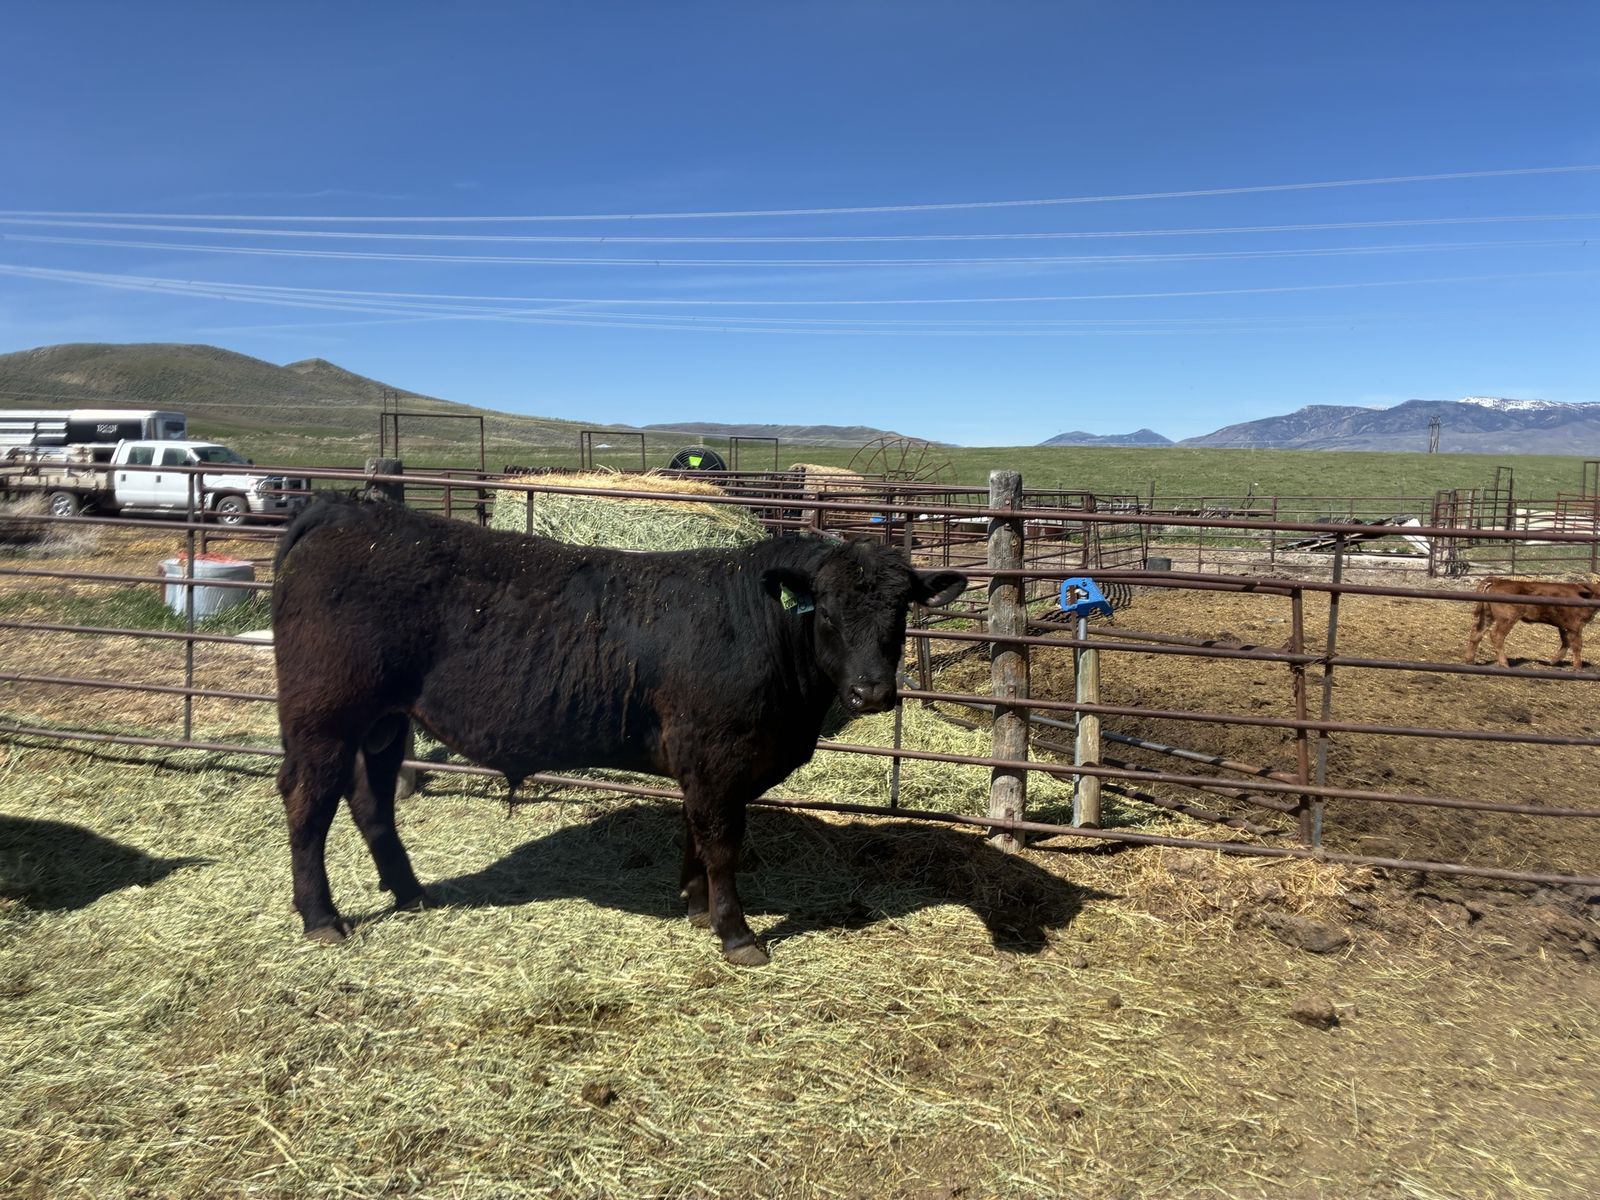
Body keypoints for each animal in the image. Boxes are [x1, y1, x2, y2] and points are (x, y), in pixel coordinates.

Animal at [270, 495, 966, 966]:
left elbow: (694, 832)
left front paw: (693, 904)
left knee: (371, 799)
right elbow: (722, 843)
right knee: (309, 802)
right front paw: (736, 932)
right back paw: (322, 917)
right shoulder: (718, 757)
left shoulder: (702, 764)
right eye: (825, 611)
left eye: (900, 610)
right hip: (323, 716)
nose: (871, 692)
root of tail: (342, 509)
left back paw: (410, 891)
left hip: (384, 721)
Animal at [1463, 576, 1600, 672]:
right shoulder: (1575, 625)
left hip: (1488, 615)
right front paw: (1577, 667)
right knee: (1497, 635)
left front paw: (1553, 661)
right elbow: (1577, 645)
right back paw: (1504, 664)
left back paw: (1469, 660)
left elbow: (1565, 642)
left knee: (1477, 632)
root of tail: (1498, 581)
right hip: (1507, 618)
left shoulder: (1564, 625)